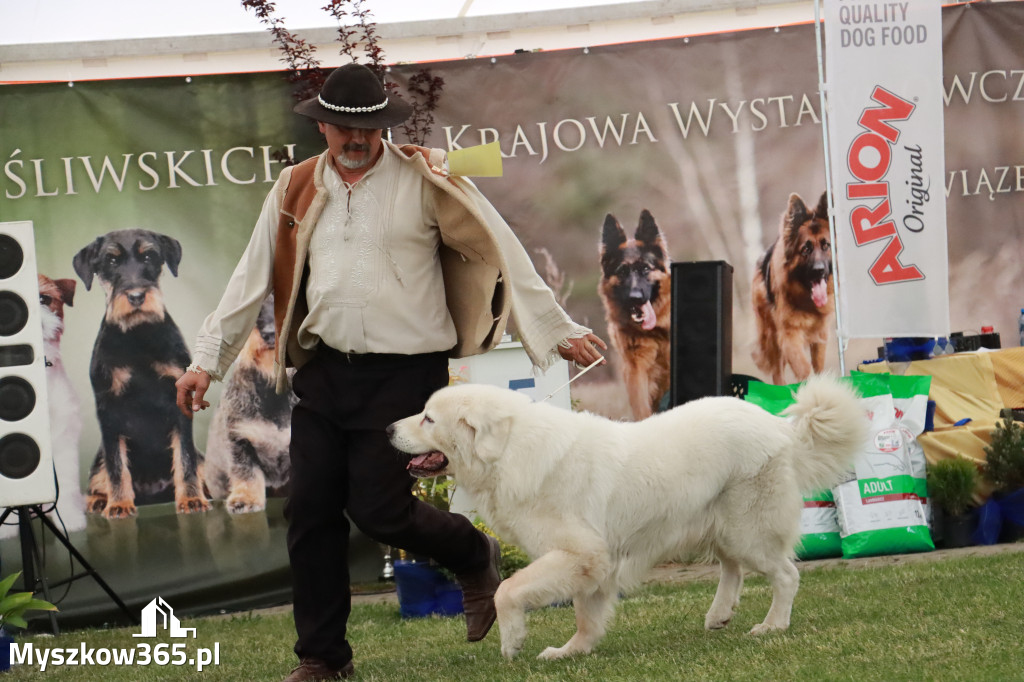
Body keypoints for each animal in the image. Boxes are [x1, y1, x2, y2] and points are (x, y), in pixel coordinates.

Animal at [387, 376, 868, 659]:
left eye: (428, 418)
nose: (388, 429)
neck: (507, 451)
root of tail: (778, 425)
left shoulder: (582, 554)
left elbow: (507, 590)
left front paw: (513, 641)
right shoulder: (590, 562)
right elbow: (586, 614)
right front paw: (572, 651)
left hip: (748, 529)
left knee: (785, 575)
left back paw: (771, 625)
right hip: (721, 526)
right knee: (733, 569)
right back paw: (719, 615)